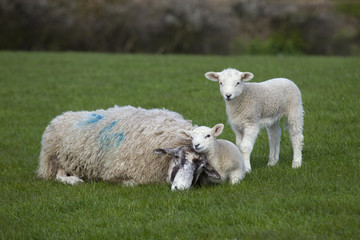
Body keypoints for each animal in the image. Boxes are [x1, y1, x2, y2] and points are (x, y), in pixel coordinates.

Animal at [37, 106, 217, 190]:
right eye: (177, 158)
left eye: (201, 167)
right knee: (58, 174)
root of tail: (61, 116)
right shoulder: (116, 171)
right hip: (54, 158)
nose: (181, 189)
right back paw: (73, 180)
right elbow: (132, 184)